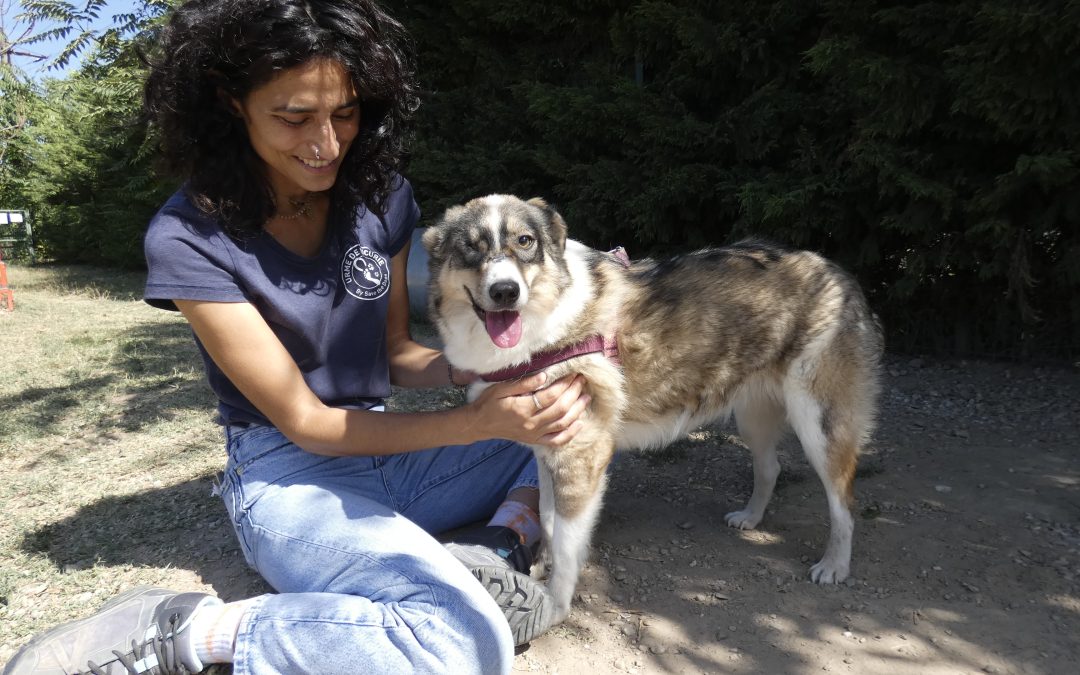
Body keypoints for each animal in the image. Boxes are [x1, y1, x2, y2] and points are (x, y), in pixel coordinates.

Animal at [416, 193, 881, 622]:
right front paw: (541, 569)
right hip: (753, 415)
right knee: (771, 467)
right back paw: (750, 517)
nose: (505, 291)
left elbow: (567, 547)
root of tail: (838, 272)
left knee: (844, 500)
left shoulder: (580, 457)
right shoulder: (547, 450)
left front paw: (555, 606)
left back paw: (834, 565)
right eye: (471, 248)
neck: (545, 331)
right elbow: (548, 522)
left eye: (525, 241)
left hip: (819, 424)